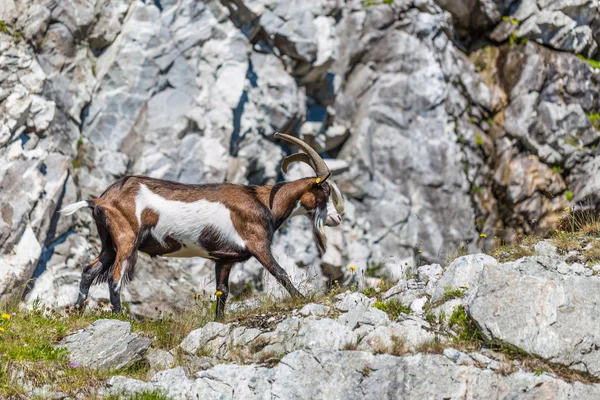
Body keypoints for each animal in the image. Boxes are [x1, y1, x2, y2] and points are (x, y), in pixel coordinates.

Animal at [60, 134, 344, 318]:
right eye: (325, 190)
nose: (337, 218)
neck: (264, 202)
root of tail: (101, 199)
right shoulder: (258, 243)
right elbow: (280, 272)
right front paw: (303, 299)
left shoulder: (224, 259)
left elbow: (222, 292)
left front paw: (218, 321)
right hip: (126, 237)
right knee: (115, 277)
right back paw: (120, 316)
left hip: (109, 241)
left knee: (89, 270)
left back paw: (78, 310)